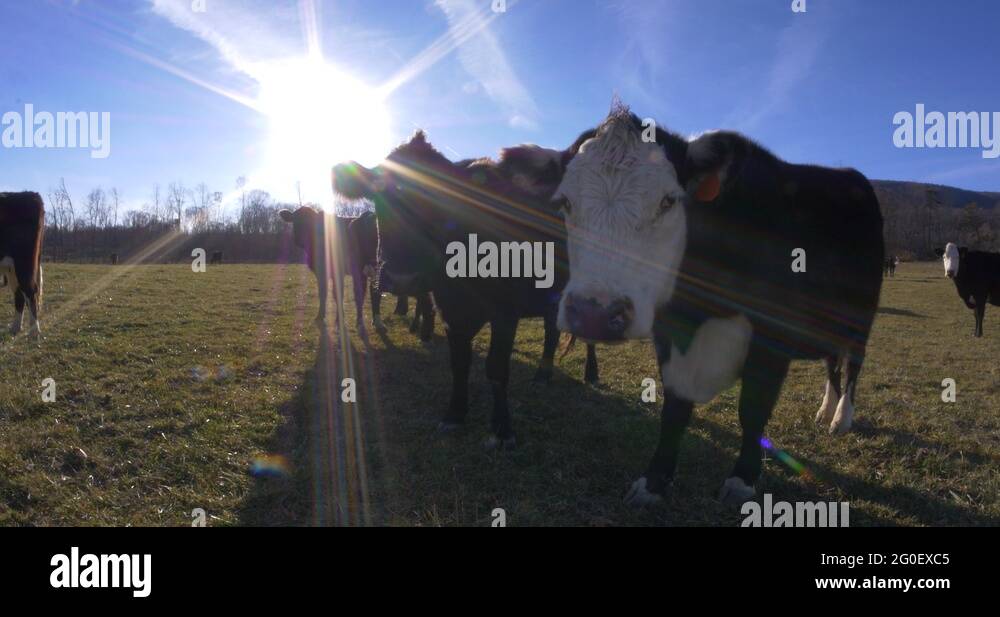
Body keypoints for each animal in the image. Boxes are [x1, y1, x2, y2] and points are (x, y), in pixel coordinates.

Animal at [0, 192, 45, 339]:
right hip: (11, 268)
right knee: (19, 294)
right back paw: (15, 328)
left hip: (24, 262)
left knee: (30, 291)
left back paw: (34, 331)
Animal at [543, 105, 883, 506]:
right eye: (564, 202)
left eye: (668, 200)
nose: (594, 312)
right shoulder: (670, 336)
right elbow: (675, 409)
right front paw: (653, 481)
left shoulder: (772, 337)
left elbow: (753, 410)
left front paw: (742, 480)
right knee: (832, 362)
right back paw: (825, 409)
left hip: (860, 317)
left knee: (853, 364)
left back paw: (841, 418)